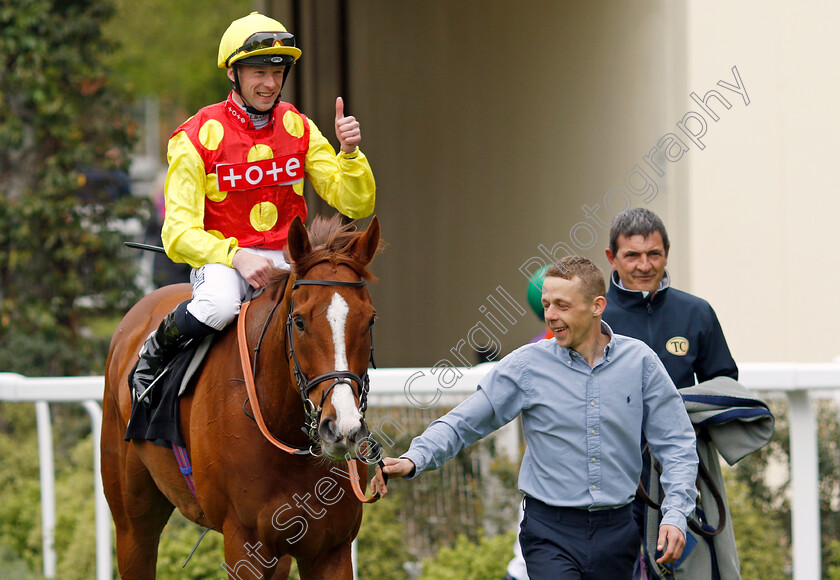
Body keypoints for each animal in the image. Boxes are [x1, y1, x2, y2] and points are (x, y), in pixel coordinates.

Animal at [99, 216, 384, 580]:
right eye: (300, 321)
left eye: (370, 319)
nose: (341, 428)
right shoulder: (244, 542)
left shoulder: (330, 548)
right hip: (132, 524)